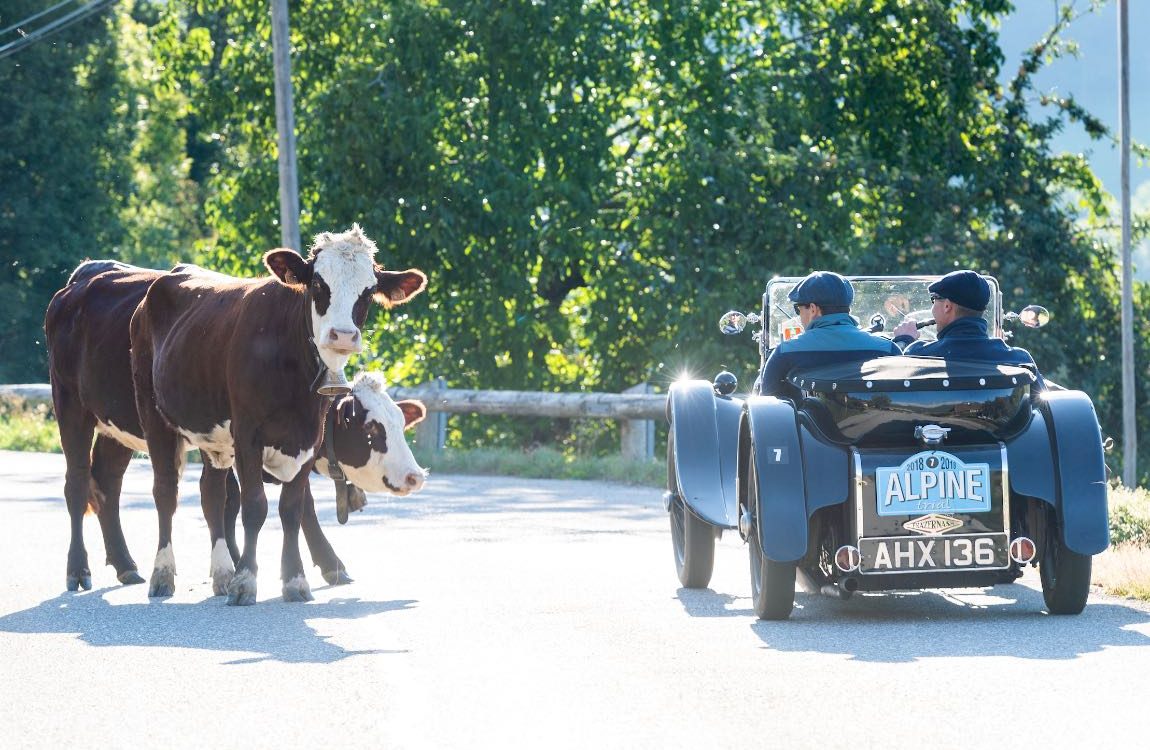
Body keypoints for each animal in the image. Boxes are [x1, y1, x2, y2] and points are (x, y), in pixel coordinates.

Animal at [42, 257, 427, 598]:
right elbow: (252, 504)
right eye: (372, 431)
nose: (415, 476)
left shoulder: (267, 445)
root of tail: (83, 275)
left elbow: (262, 502)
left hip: (117, 428)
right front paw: (260, 568)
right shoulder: (242, 439)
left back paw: (126, 565)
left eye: (400, 424)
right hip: (74, 405)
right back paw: (82, 570)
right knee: (81, 483)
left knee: (107, 483)